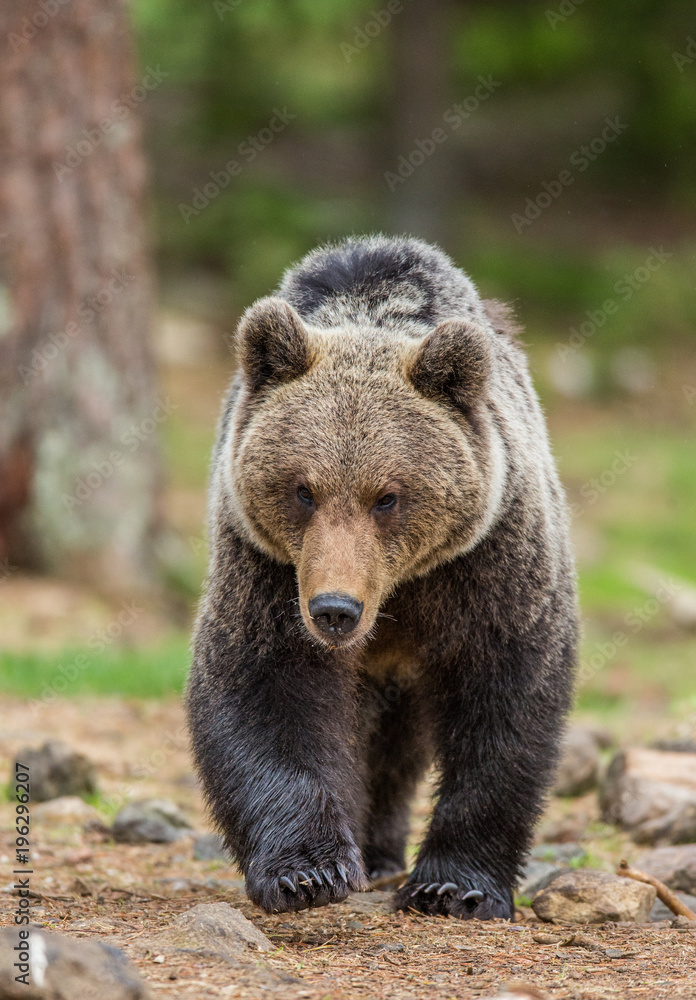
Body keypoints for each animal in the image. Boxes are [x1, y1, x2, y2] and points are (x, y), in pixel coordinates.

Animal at [188, 234, 580, 920]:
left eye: (387, 496)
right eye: (303, 490)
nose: (335, 609)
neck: (400, 590)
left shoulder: (490, 566)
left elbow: (506, 701)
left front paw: (455, 885)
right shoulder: (265, 567)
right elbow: (262, 690)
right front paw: (306, 871)